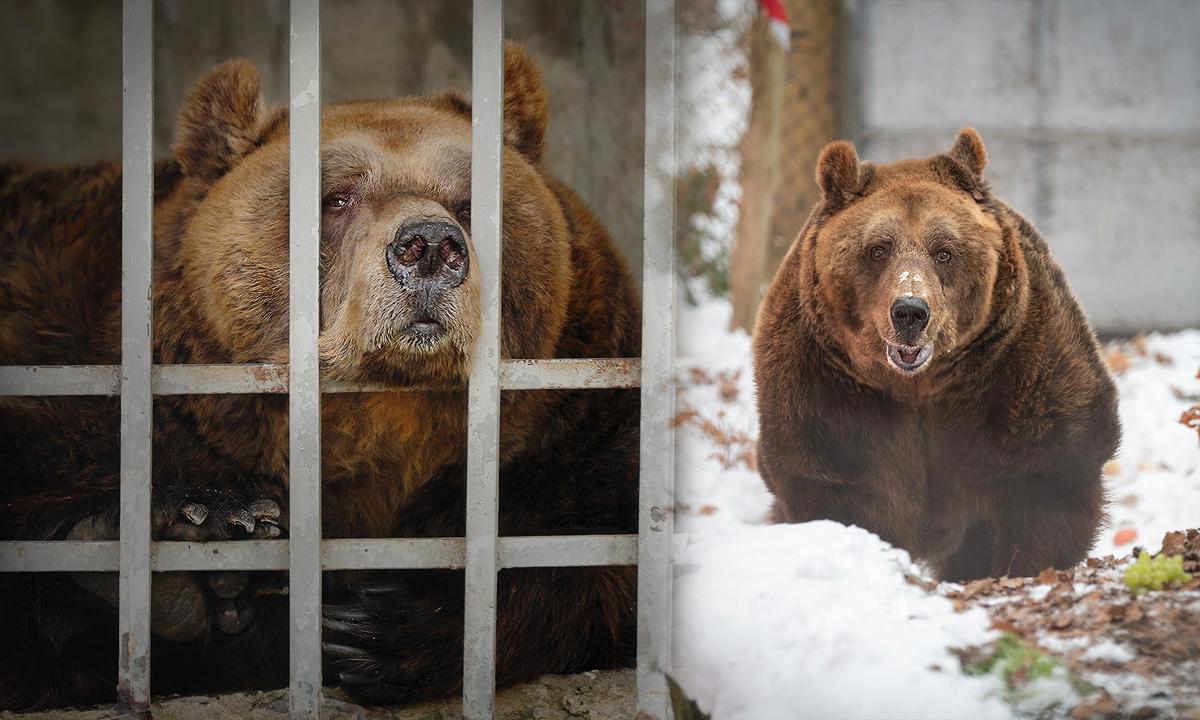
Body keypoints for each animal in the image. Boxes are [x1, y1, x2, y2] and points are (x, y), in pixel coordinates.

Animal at [0, 43, 640, 710]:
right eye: (336, 198)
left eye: (470, 203)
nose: (430, 244)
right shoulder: (75, 370)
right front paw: (197, 530)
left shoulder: (576, 430)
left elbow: (597, 554)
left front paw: (386, 630)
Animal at [753, 128, 1120, 583]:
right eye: (877, 249)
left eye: (944, 250)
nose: (910, 311)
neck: (921, 388)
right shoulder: (826, 387)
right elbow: (840, 484)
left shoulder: (1018, 371)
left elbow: (1045, 480)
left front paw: (1023, 566)